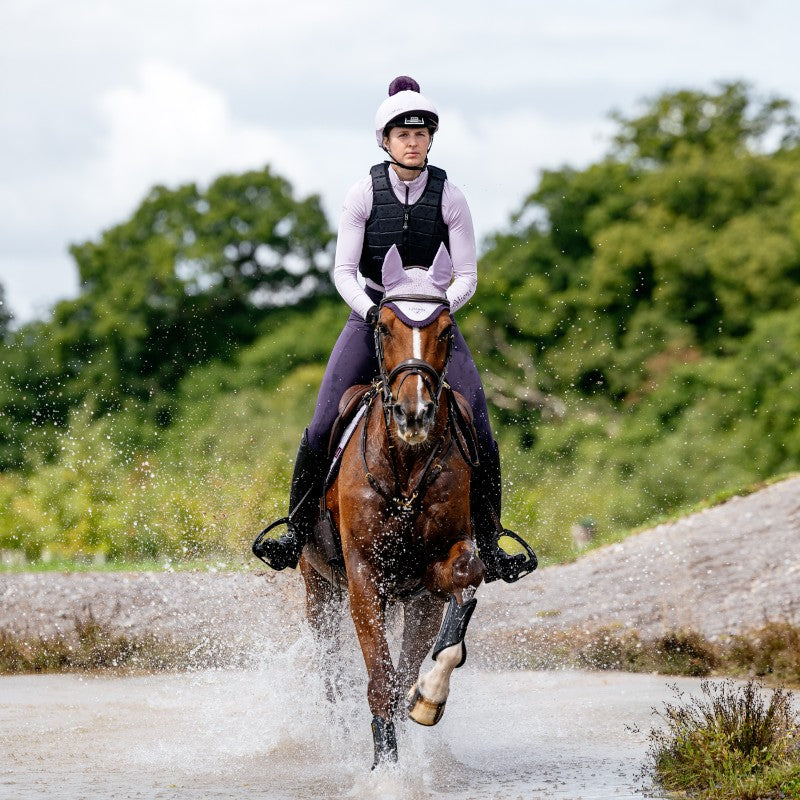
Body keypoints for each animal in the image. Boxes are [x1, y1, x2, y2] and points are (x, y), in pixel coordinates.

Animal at [300, 247, 487, 767]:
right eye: (382, 326)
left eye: (446, 330)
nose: (414, 414)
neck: (405, 465)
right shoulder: (364, 578)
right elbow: (380, 678)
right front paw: (386, 769)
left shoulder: (434, 575)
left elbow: (464, 586)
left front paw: (429, 696)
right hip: (318, 589)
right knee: (330, 671)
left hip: (412, 599)